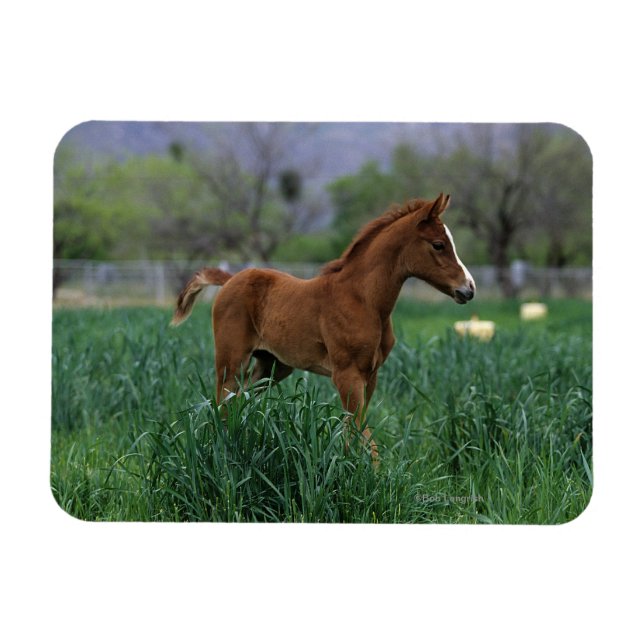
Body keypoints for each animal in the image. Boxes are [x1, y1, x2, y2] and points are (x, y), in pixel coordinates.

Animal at [171, 193, 475, 461]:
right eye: (438, 245)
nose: (469, 289)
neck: (363, 299)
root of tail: (230, 280)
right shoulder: (346, 374)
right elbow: (361, 433)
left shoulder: (371, 375)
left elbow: (356, 431)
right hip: (230, 360)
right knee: (222, 403)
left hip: (272, 366)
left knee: (238, 401)